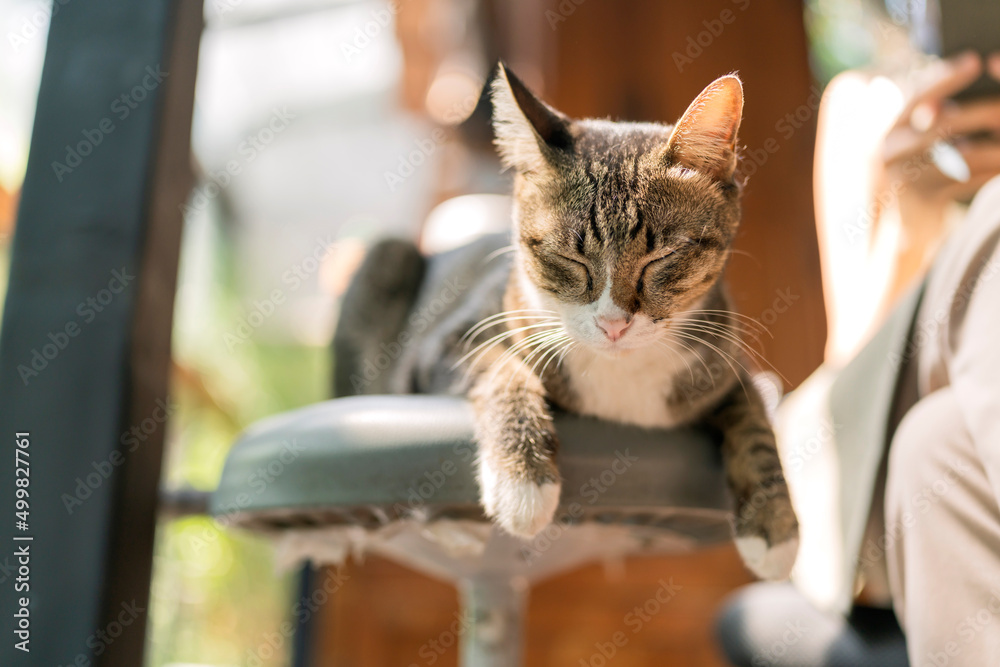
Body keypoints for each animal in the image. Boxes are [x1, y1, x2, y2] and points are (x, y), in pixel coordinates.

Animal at [334, 65, 796, 580]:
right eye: (569, 259)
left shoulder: (726, 363)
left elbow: (756, 423)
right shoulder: (443, 346)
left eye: (662, 258)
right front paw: (523, 480)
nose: (614, 323)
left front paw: (775, 528)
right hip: (387, 256)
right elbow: (501, 368)